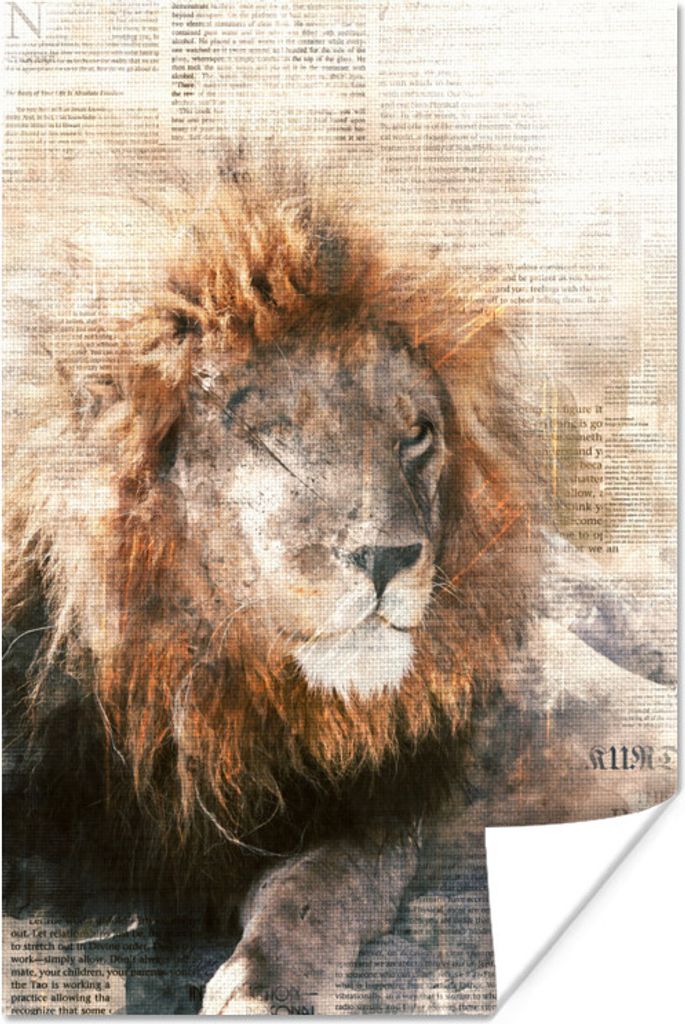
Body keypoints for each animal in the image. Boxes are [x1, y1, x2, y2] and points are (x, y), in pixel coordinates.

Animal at [6, 154, 673, 1015]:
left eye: (415, 433)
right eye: (274, 433)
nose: (389, 556)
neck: (209, 697)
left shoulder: (386, 797)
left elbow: (319, 885)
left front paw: (264, 986)